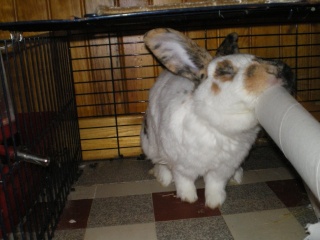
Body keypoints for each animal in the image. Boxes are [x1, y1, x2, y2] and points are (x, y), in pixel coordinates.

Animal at [141, 27, 294, 208]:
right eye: (225, 71)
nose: (286, 71)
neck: (217, 126)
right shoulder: (182, 166)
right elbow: (184, 182)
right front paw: (189, 199)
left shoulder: (222, 169)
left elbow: (215, 185)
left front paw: (215, 202)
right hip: (151, 142)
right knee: (160, 162)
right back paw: (163, 178)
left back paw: (237, 176)